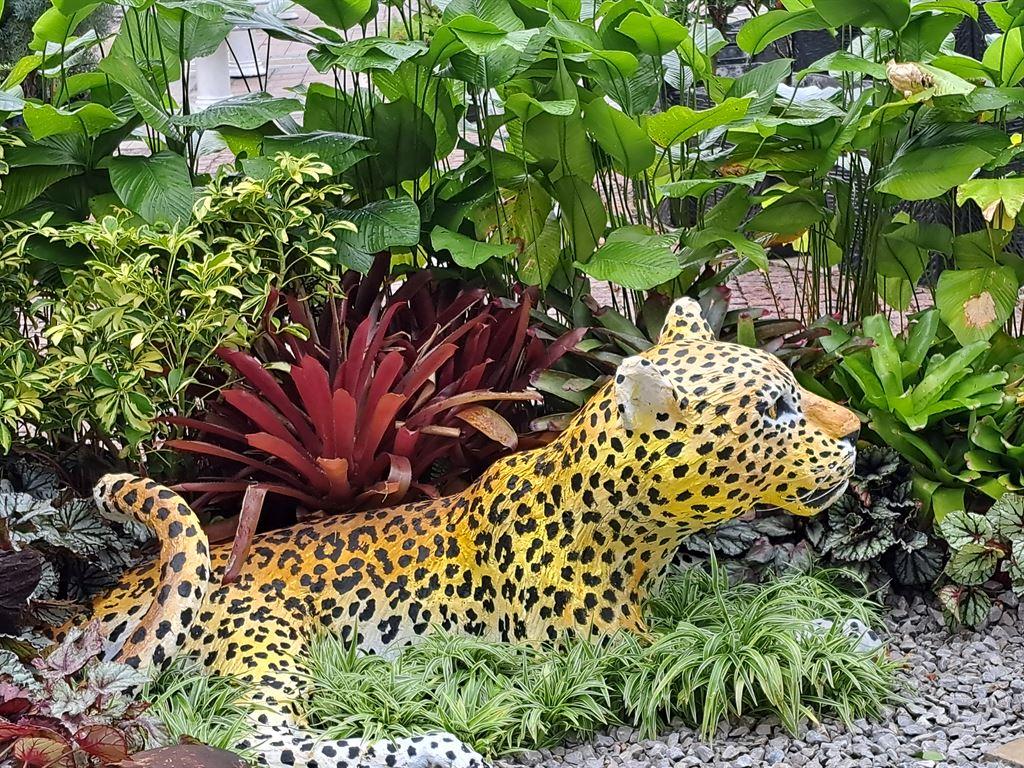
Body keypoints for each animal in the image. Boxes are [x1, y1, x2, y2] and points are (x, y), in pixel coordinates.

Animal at [79, 298, 859, 768]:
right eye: (777, 408)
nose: (856, 434)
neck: (635, 533)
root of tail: (104, 605)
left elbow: (723, 613)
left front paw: (835, 627)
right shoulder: (599, 650)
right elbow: (706, 643)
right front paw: (821, 638)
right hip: (266, 637)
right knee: (261, 736)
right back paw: (435, 745)